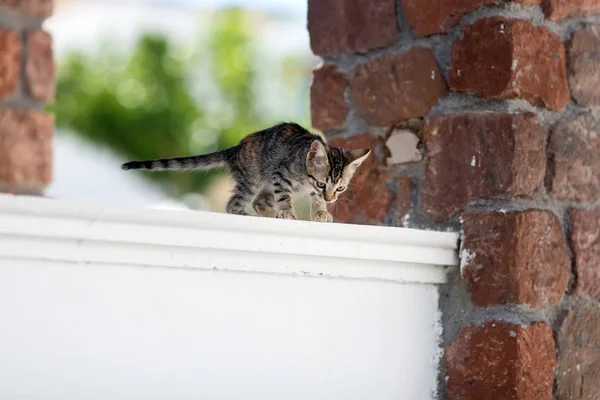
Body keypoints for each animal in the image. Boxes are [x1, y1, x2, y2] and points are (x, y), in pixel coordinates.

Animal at [122, 122, 370, 222]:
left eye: (340, 188)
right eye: (321, 183)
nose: (330, 198)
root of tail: (235, 149)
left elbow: (315, 201)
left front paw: (320, 213)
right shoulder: (281, 175)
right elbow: (285, 197)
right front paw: (287, 212)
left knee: (260, 202)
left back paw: (270, 214)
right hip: (254, 179)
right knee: (234, 205)